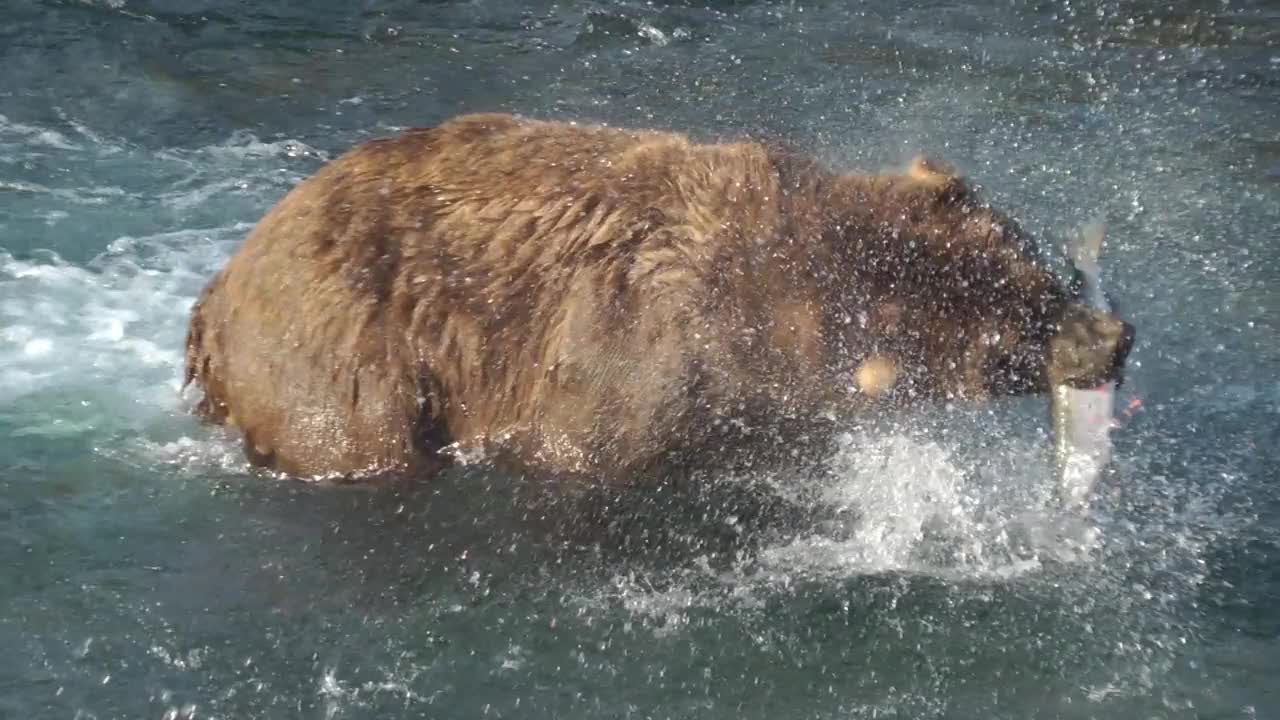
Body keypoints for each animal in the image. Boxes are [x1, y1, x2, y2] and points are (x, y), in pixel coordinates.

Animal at [180, 112, 1131, 481]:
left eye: (1035, 265)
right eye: (1015, 335)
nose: (1114, 334)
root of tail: (218, 286)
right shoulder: (630, 354)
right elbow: (589, 439)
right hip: (340, 340)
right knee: (352, 430)